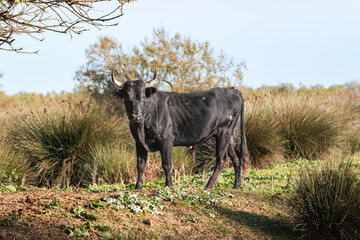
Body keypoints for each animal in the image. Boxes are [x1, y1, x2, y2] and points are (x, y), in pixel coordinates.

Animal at [112, 71, 248, 189]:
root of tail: (232, 89)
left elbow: (167, 164)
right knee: (236, 157)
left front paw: (169, 185)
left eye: (142, 97)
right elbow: (140, 164)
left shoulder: (166, 140)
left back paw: (209, 185)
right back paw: (236, 185)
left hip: (223, 132)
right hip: (228, 135)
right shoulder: (139, 143)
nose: (135, 116)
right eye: (126, 98)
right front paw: (138, 186)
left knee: (221, 159)